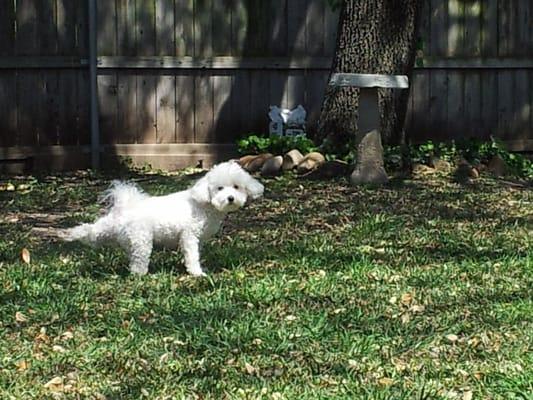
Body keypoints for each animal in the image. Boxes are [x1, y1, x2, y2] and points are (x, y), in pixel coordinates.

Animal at [61, 161, 264, 276]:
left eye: (236, 187)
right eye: (220, 188)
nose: (230, 198)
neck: (204, 203)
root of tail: (125, 207)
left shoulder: (197, 239)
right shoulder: (190, 236)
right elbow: (192, 256)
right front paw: (197, 273)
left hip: (116, 231)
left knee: (94, 232)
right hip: (142, 240)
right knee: (138, 262)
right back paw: (140, 275)